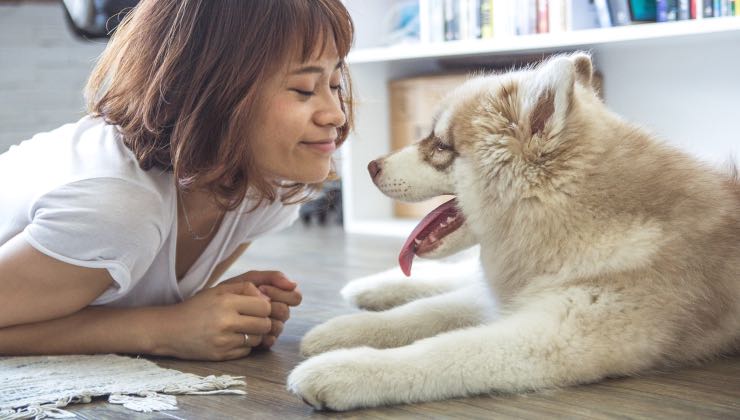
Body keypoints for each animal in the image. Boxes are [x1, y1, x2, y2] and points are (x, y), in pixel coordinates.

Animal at [286, 52, 736, 410]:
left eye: (440, 146)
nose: (369, 166)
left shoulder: (556, 334)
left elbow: (444, 349)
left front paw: (343, 369)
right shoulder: (515, 296)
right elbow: (421, 313)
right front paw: (340, 332)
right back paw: (370, 288)